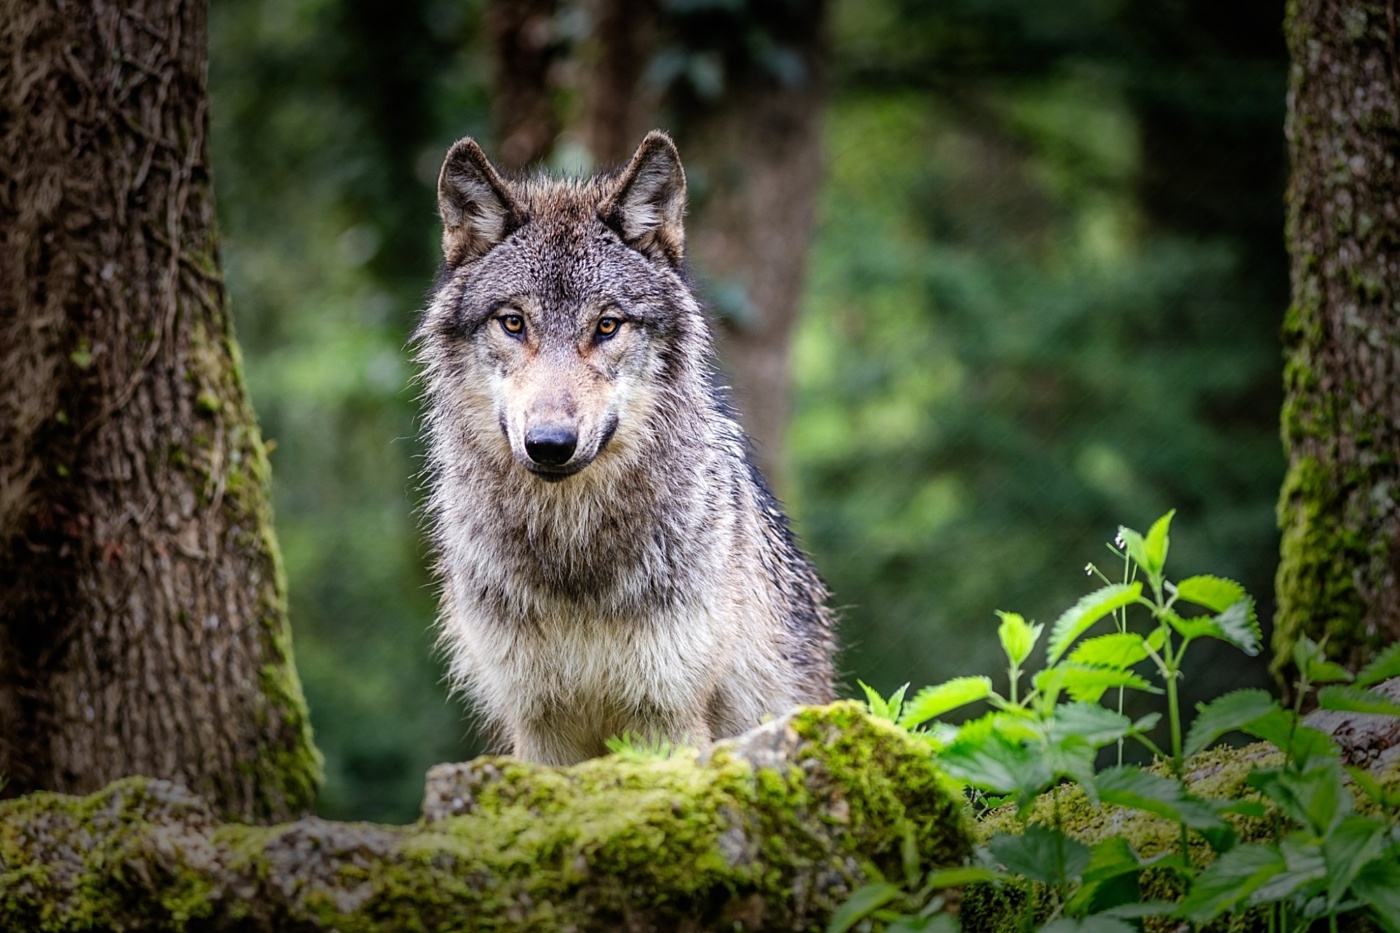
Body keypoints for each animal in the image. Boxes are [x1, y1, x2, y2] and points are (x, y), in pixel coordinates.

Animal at [415, 131, 837, 766]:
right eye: (513, 323)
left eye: (607, 326)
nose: (549, 445)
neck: (573, 557)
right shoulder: (538, 726)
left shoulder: (666, 716)